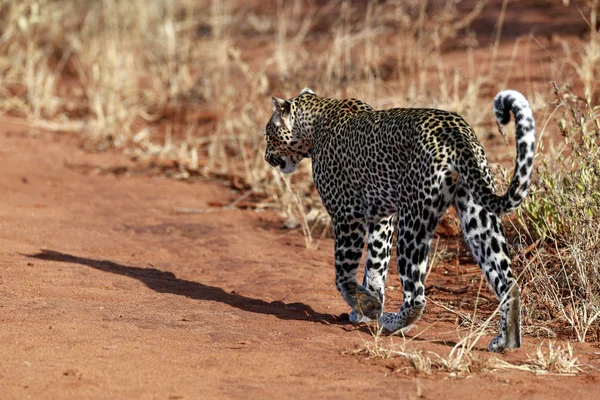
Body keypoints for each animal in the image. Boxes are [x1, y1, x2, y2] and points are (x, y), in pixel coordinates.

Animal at [262, 86, 536, 350]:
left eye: (268, 134)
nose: (265, 156)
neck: (315, 119)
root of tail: (455, 129)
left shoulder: (348, 215)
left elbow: (343, 274)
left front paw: (370, 307)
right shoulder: (381, 218)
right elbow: (375, 267)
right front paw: (366, 307)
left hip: (413, 222)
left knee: (416, 295)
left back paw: (392, 323)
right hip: (478, 215)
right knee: (508, 282)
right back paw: (507, 342)